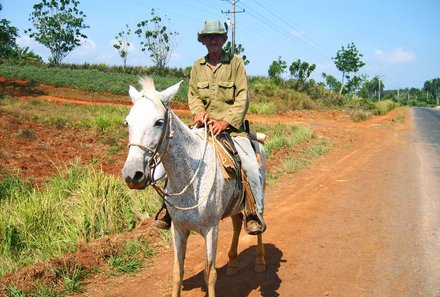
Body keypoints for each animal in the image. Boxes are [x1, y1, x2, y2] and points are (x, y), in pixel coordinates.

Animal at [120, 77, 264, 296]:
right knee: (238, 222)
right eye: (128, 122)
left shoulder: (211, 229)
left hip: (259, 195)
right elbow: (177, 273)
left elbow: (210, 274)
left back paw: (260, 261)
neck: (190, 176)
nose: (132, 174)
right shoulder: (178, 229)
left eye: (159, 122)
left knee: (260, 225)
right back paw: (232, 264)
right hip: (235, 205)